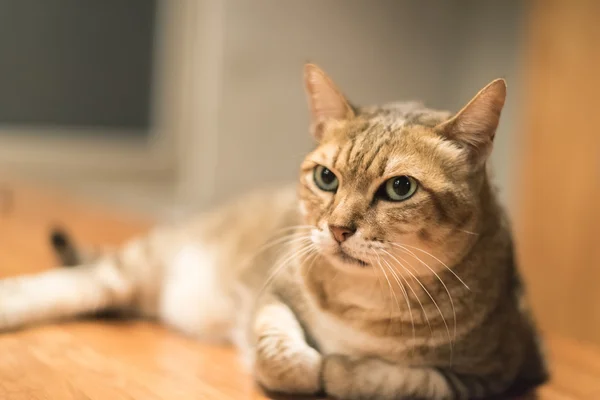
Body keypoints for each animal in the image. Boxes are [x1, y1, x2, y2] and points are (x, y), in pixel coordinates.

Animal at [0, 64, 548, 398]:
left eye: (399, 188)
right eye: (326, 178)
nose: (338, 229)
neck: (368, 300)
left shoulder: (494, 373)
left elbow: (399, 380)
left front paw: (341, 368)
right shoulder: (272, 291)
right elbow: (282, 354)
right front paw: (313, 365)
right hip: (138, 264)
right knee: (78, 282)